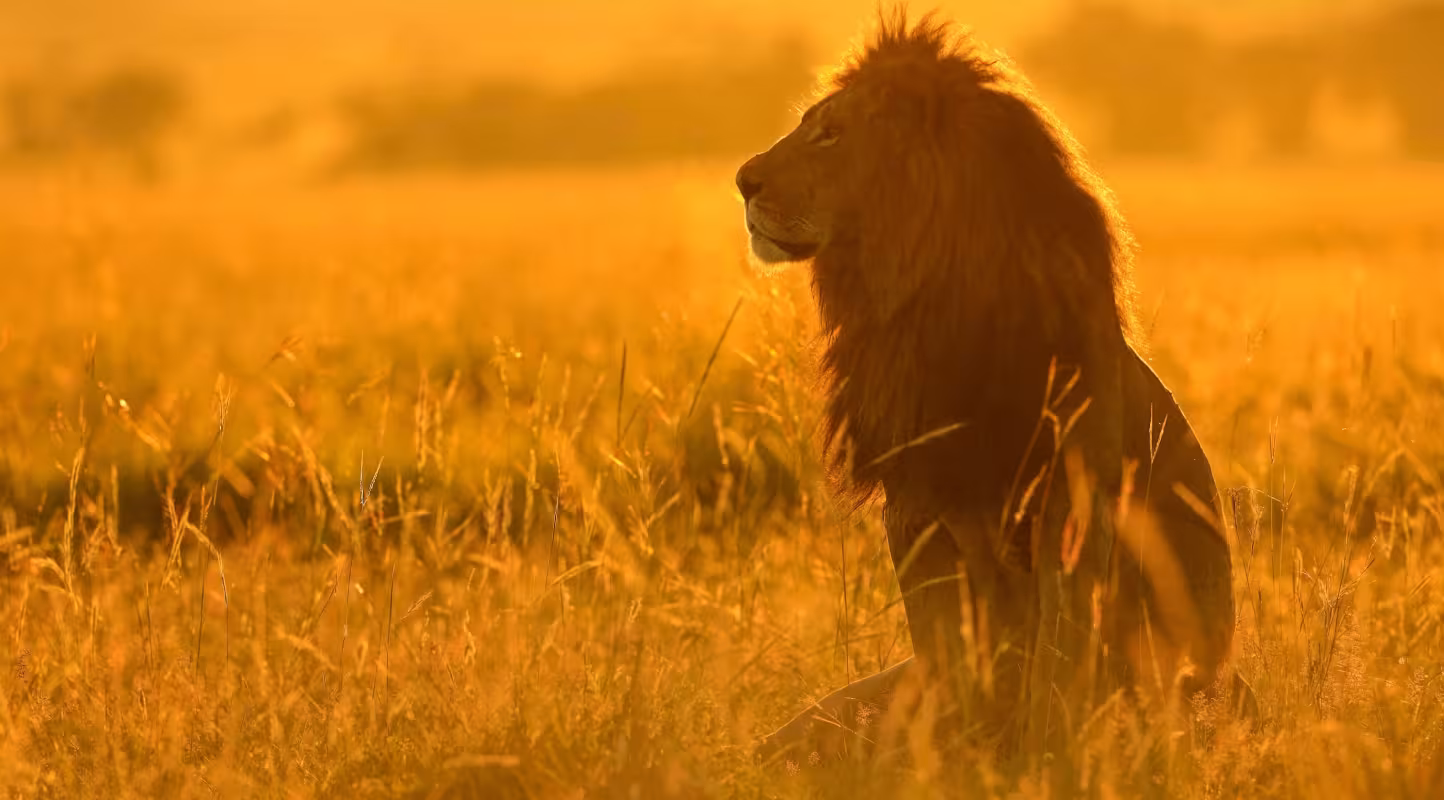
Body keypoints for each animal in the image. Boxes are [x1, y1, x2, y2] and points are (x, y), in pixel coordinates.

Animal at [737, 9, 1240, 765]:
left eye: (831, 132)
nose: (742, 181)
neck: (923, 308)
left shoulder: (1072, 504)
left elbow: (1058, 657)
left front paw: (1043, 758)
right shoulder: (914, 508)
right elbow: (951, 655)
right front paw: (954, 757)